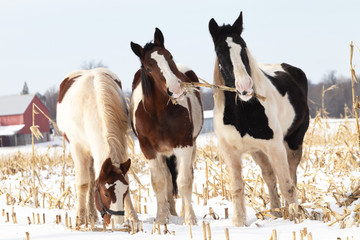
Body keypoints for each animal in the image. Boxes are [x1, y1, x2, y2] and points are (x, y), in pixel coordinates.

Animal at [56, 68, 138, 227]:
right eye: (106, 193)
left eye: (124, 191)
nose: (117, 222)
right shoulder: (78, 148)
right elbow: (83, 183)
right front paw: (80, 219)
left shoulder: (121, 143)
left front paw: (133, 217)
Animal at [130, 28, 204, 225]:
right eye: (148, 67)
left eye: (170, 56)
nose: (176, 89)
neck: (160, 114)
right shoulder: (149, 150)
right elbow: (159, 183)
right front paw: (161, 219)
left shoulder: (184, 146)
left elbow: (184, 181)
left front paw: (190, 219)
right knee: (168, 179)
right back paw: (170, 212)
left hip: (190, 147)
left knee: (183, 176)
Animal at [208, 12, 310, 226]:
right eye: (220, 52)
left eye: (243, 47)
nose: (245, 87)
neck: (243, 111)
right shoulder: (230, 152)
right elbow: (238, 187)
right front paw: (239, 223)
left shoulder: (276, 147)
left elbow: (287, 184)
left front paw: (296, 219)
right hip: (257, 151)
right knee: (269, 176)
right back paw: (276, 212)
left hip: (293, 142)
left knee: (291, 176)